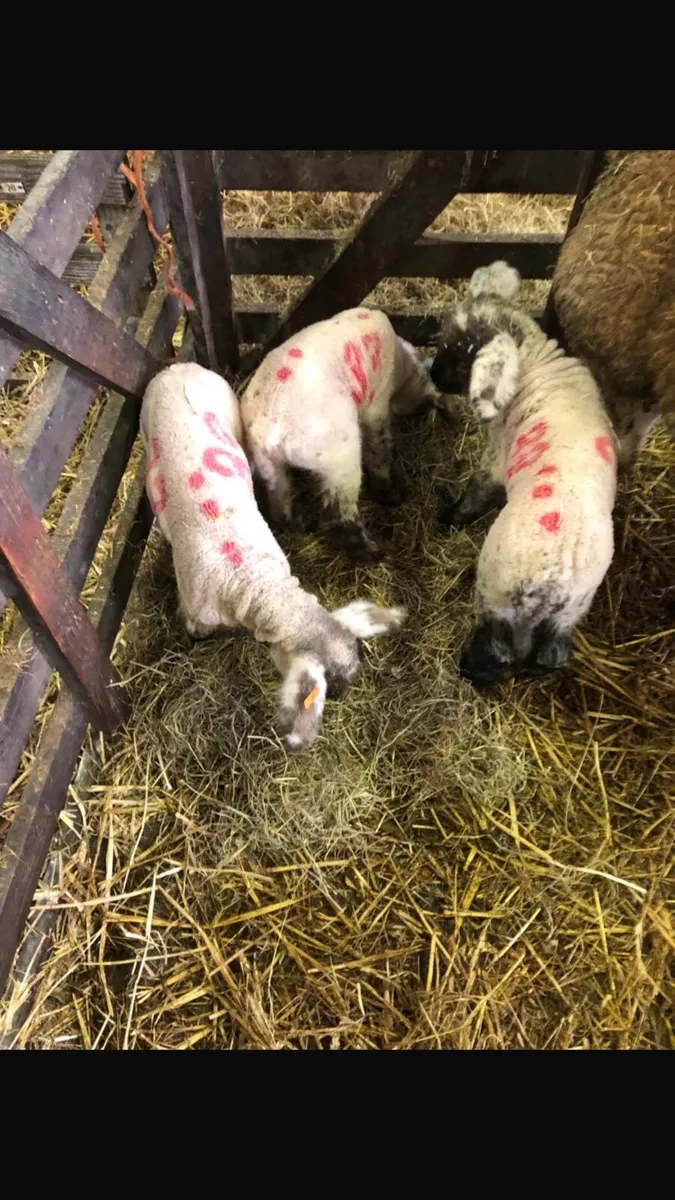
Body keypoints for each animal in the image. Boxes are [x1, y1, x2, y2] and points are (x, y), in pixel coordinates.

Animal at [140, 362, 406, 750]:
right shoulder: (194, 602)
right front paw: (194, 638)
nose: (343, 697)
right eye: (331, 687)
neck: (248, 578)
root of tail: (179, 366)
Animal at [240, 307, 437, 563]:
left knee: (279, 503)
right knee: (338, 517)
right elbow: (379, 448)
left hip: (268, 464)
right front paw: (390, 491)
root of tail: (271, 422)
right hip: (339, 455)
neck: (402, 363)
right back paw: (373, 551)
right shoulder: (377, 403)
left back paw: (297, 522)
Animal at [429, 262, 618, 688]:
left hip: (497, 591)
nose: (431, 374)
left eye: (465, 360)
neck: (535, 360)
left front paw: (448, 518)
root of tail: (557, 575)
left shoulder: (496, 458)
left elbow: (475, 491)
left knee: (498, 649)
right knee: (552, 655)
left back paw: (470, 671)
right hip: (571, 611)